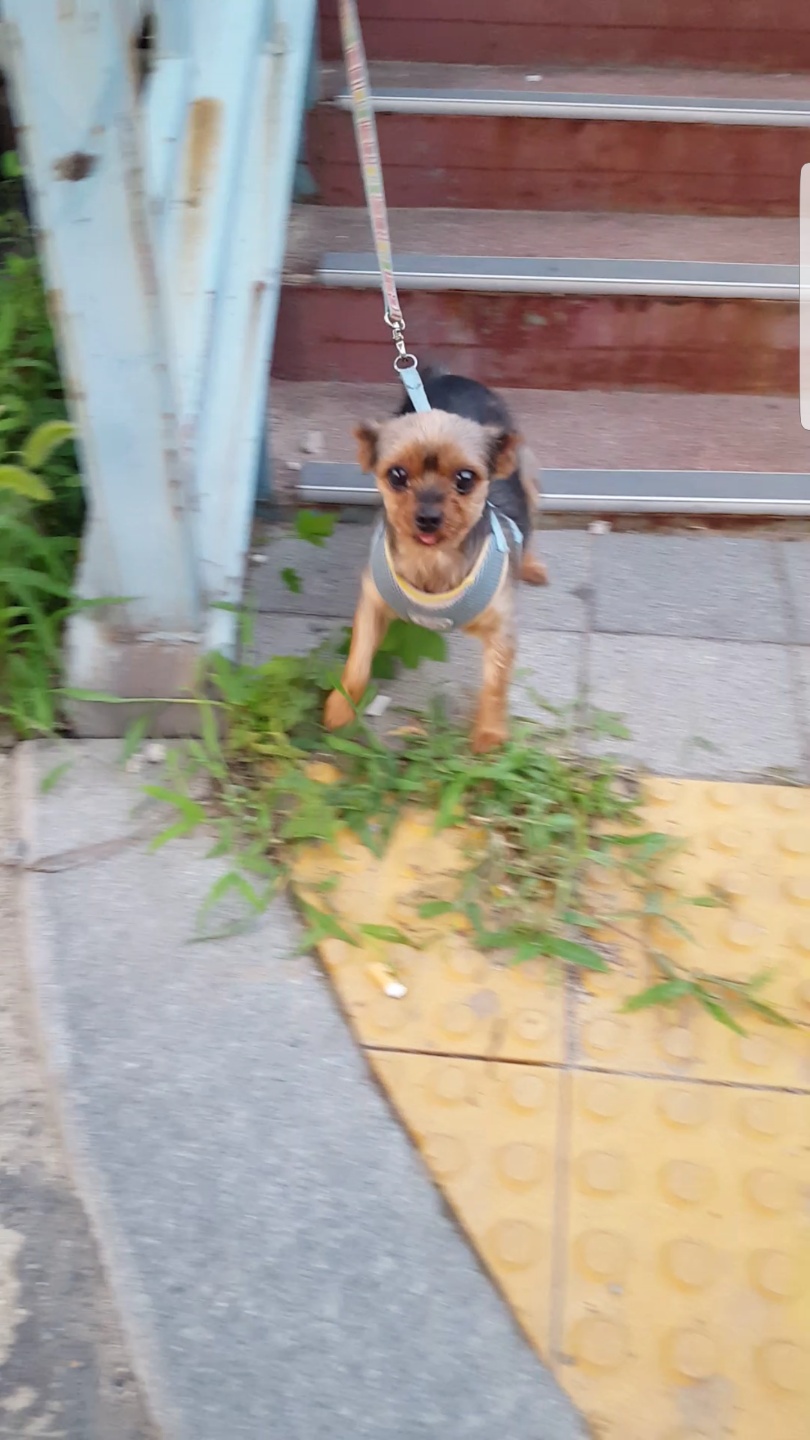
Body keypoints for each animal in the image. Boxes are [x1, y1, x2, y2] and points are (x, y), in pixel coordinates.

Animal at [324, 369, 547, 753]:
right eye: (397, 475)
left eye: (465, 478)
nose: (428, 517)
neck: (432, 561)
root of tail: (446, 375)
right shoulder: (373, 603)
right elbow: (358, 659)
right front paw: (341, 705)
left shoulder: (500, 628)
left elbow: (495, 683)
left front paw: (489, 734)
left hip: (526, 470)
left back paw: (529, 564)